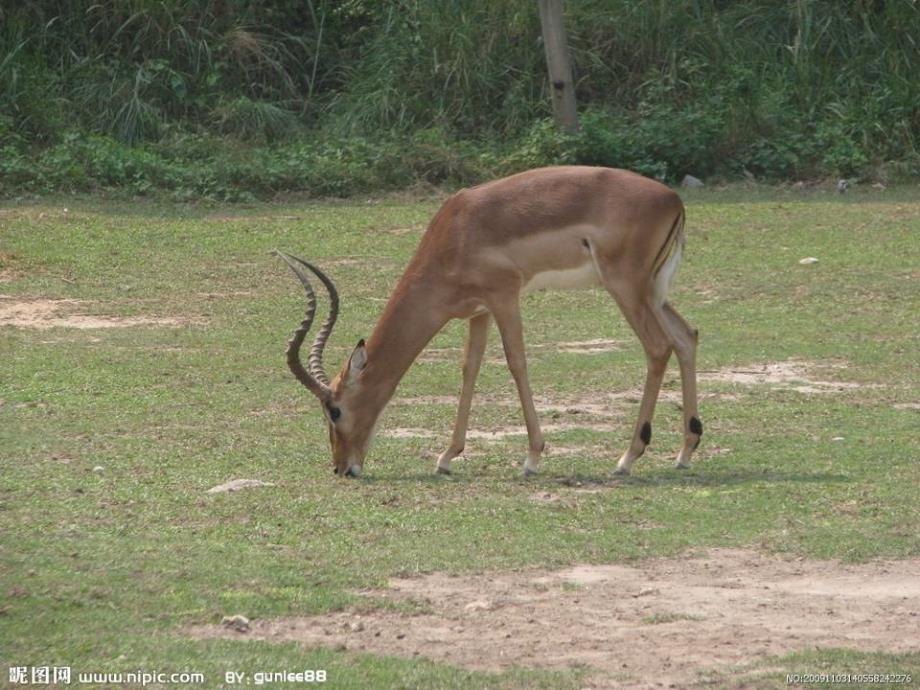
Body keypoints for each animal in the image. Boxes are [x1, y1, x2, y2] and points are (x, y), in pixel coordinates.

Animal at [276, 167, 700, 478]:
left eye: (334, 409)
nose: (341, 468)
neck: (457, 232)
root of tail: (673, 199)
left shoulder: (504, 297)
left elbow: (516, 363)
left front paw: (532, 458)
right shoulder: (478, 312)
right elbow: (470, 369)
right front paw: (446, 457)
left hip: (626, 288)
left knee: (658, 347)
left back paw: (627, 458)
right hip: (653, 292)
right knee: (687, 337)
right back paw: (684, 451)